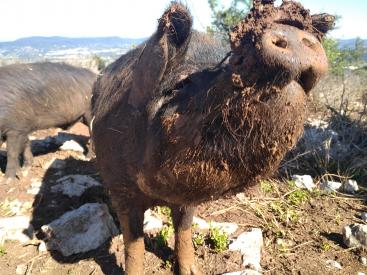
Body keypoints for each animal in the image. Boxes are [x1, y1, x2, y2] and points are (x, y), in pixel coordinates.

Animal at [92, 1, 336, 274]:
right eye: (180, 84)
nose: (288, 27)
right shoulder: (121, 190)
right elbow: (133, 244)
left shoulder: (187, 201)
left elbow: (184, 230)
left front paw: (192, 270)